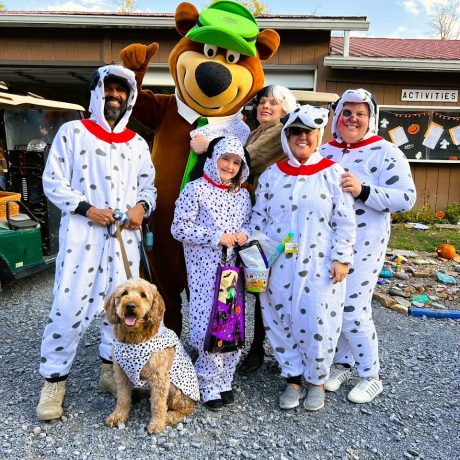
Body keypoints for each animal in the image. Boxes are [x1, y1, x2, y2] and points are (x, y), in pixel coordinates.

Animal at [103, 278, 199, 434]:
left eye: (143, 295)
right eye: (124, 293)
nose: (130, 306)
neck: (134, 339)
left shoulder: (159, 378)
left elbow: (158, 404)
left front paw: (157, 424)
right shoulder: (121, 373)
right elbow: (122, 398)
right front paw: (118, 415)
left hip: (175, 390)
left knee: (186, 409)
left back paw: (169, 417)